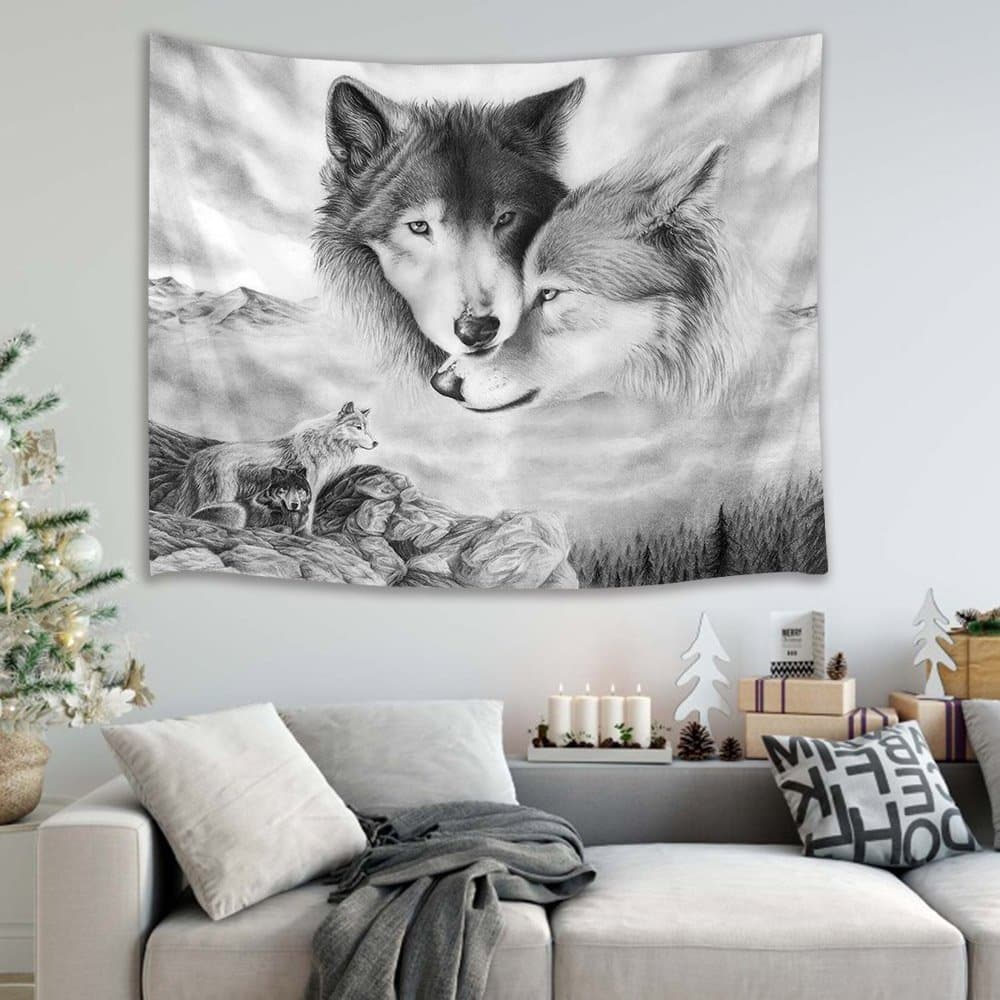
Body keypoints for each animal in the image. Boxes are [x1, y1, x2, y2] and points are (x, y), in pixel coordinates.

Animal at [176, 402, 376, 533]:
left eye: (367, 428)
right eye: (358, 427)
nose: (376, 442)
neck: (325, 441)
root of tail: (196, 457)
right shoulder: (310, 489)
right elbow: (308, 518)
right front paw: (308, 536)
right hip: (221, 496)